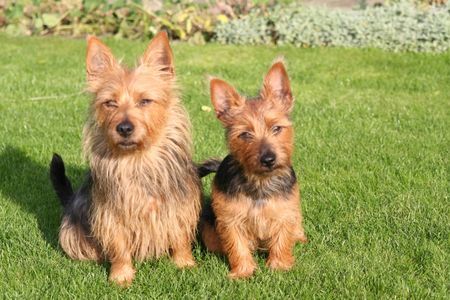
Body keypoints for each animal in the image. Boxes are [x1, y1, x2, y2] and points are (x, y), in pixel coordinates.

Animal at [49, 32, 202, 286]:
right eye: (110, 103)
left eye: (145, 101)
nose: (124, 128)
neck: (137, 161)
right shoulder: (110, 214)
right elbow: (119, 245)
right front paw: (121, 275)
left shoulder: (178, 205)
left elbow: (179, 234)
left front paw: (184, 264)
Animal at [201, 59, 310, 278]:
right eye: (245, 134)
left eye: (276, 128)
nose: (268, 159)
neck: (260, 182)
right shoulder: (230, 219)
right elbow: (237, 246)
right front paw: (243, 272)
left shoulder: (285, 212)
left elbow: (282, 240)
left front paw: (279, 266)